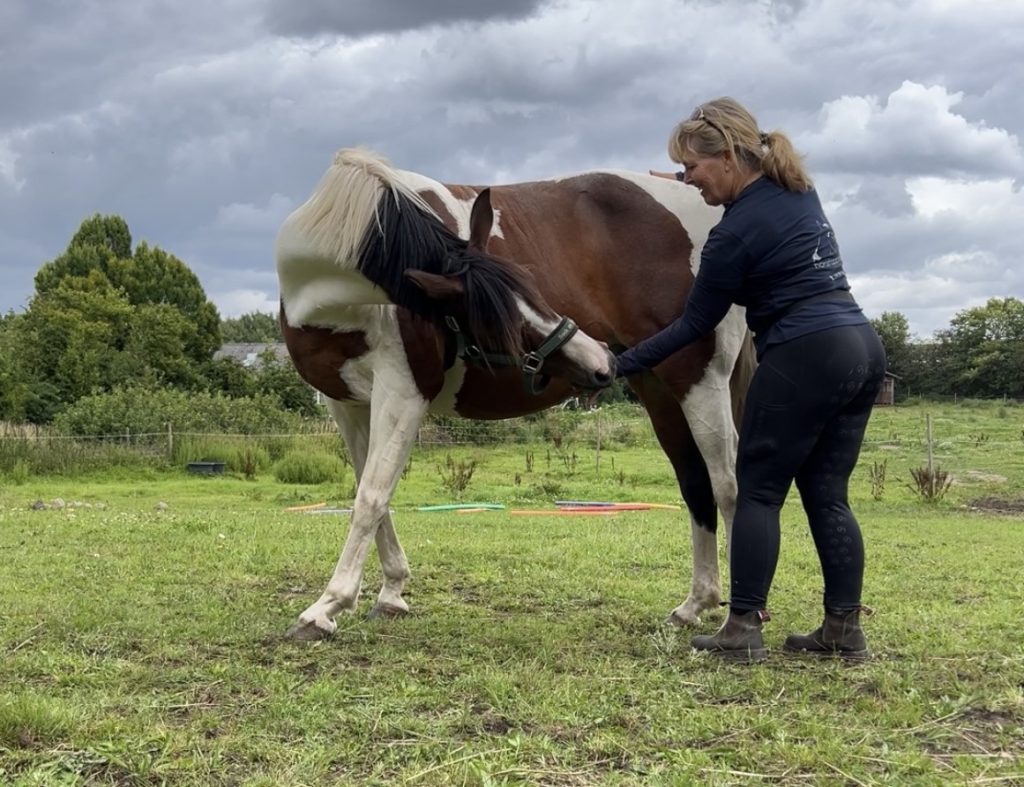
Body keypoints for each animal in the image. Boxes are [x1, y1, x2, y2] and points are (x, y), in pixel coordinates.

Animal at [272, 147, 753, 638]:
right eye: (493, 319)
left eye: (534, 285)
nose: (600, 361)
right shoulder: (346, 402)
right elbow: (369, 489)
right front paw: (389, 593)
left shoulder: (403, 392)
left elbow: (372, 495)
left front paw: (325, 607)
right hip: (659, 390)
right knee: (695, 483)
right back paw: (694, 604)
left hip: (700, 382)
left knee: (728, 485)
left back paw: (737, 619)